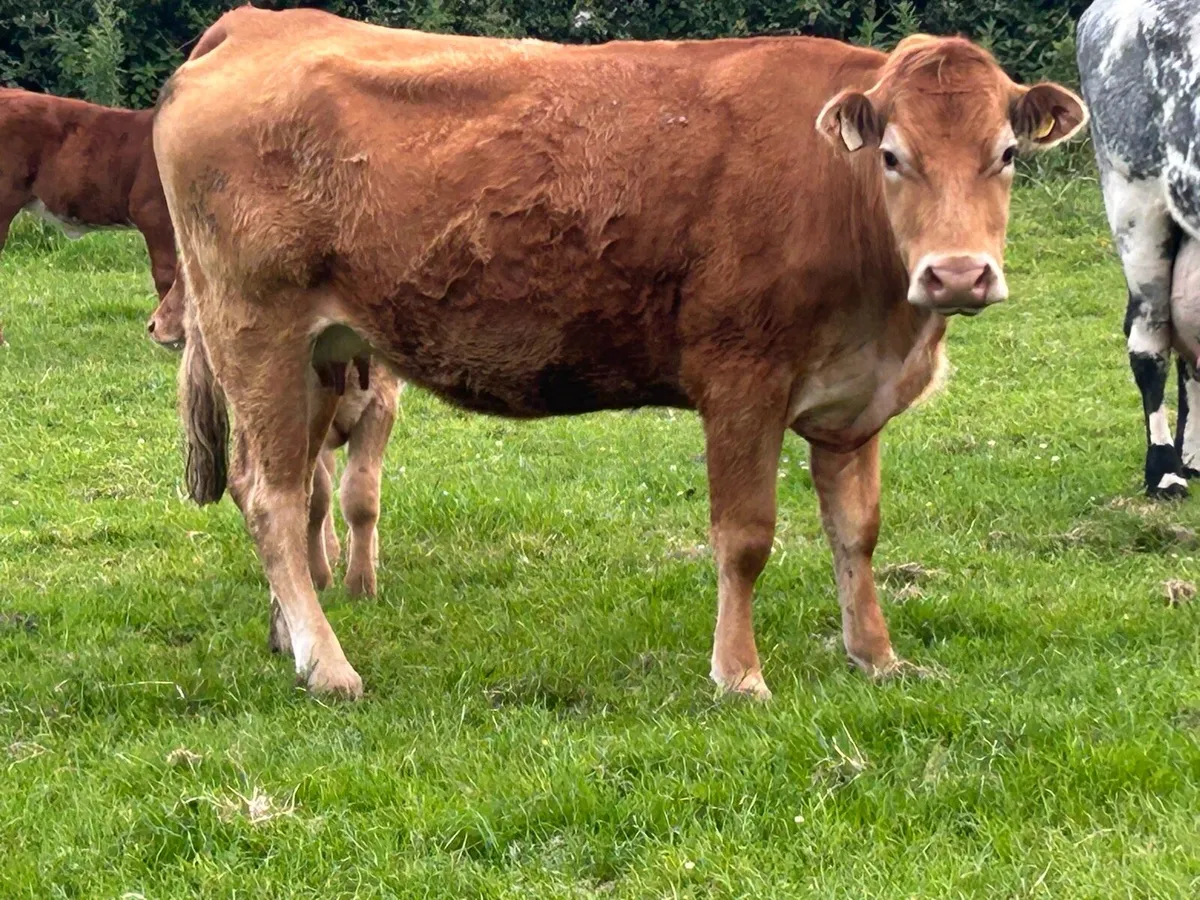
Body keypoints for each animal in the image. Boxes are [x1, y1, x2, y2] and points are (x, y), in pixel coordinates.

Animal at [154, 7, 1087, 699]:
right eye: (893, 156)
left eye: (1006, 155)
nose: (958, 273)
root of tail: (257, 23)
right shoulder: (740, 380)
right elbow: (745, 537)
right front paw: (740, 676)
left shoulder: (852, 399)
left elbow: (857, 533)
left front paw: (878, 657)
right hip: (257, 329)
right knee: (272, 497)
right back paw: (329, 666)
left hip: (319, 355)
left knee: (287, 488)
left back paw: (287, 638)